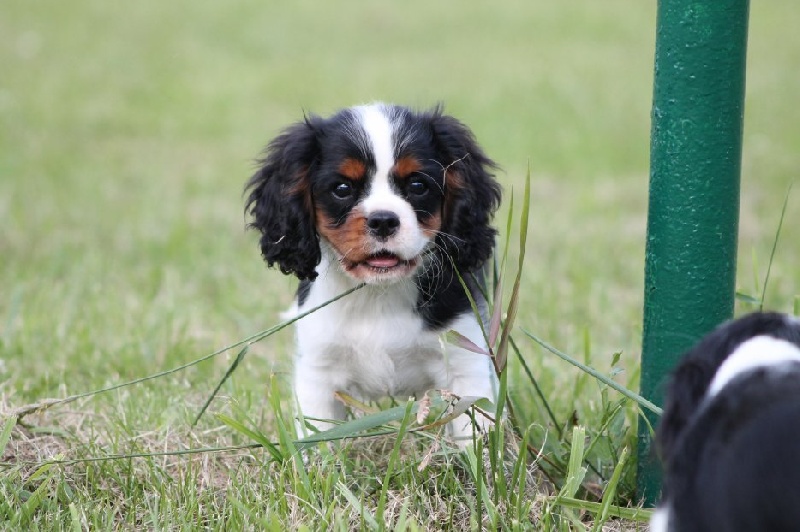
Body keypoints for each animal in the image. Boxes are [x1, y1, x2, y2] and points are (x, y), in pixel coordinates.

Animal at [247, 104, 504, 444]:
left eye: (418, 185)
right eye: (342, 188)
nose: (383, 220)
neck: (378, 292)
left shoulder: (466, 361)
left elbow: (475, 432)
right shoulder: (318, 369)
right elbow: (318, 436)